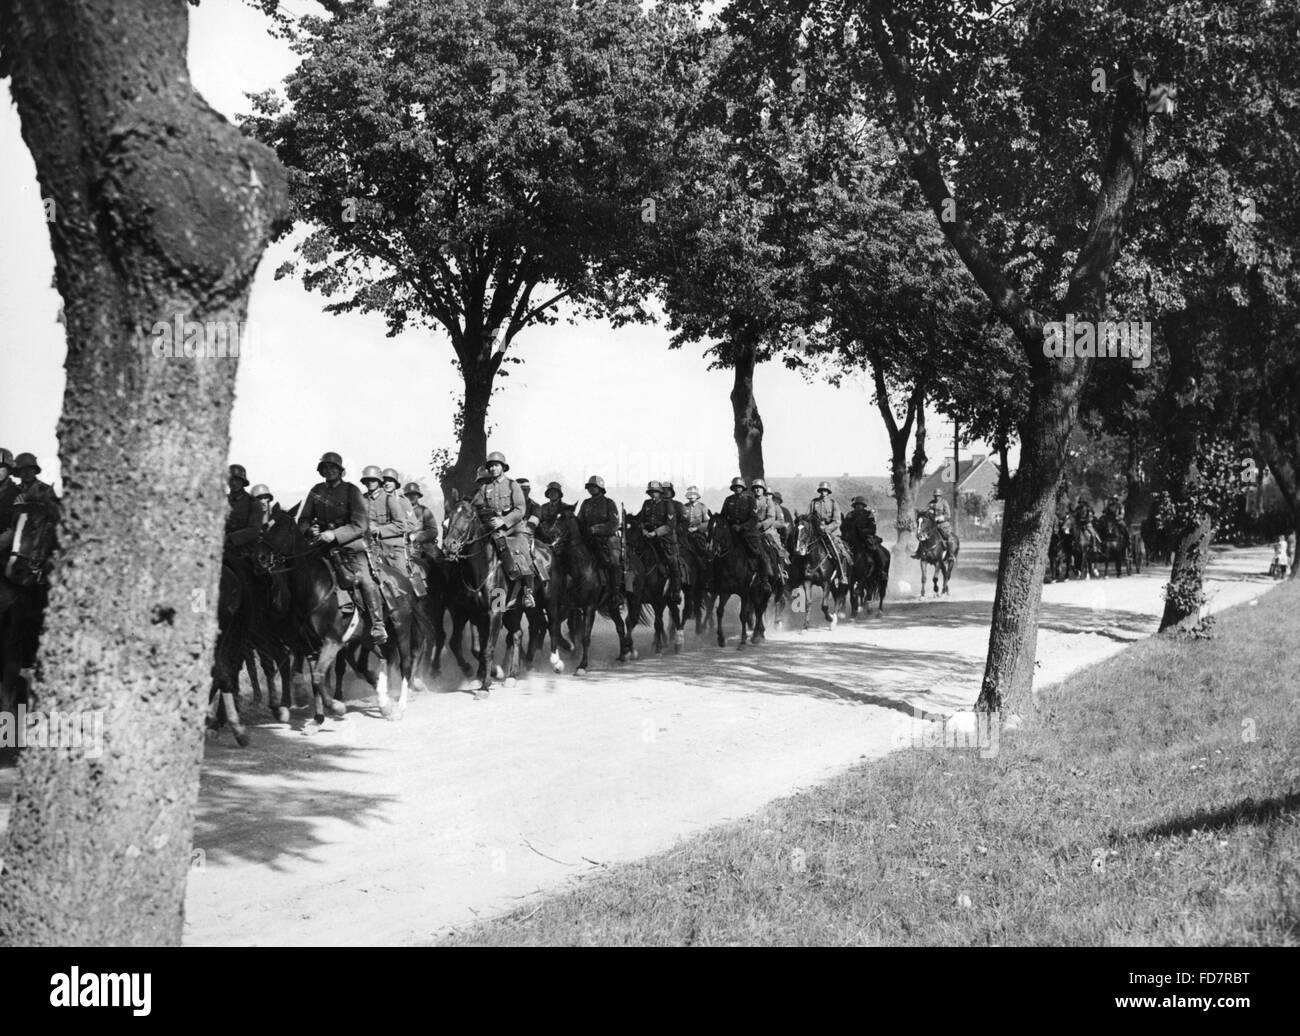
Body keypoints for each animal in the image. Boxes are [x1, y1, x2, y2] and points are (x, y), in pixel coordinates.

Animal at [439, 499, 561, 696]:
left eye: (469, 516)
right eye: (449, 517)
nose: (450, 544)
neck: (484, 565)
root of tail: (547, 550)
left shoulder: (494, 613)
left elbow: (488, 648)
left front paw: (485, 685)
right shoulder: (475, 614)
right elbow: (478, 648)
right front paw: (483, 676)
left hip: (550, 599)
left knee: (553, 624)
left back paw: (556, 662)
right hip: (522, 609)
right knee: (520, 633)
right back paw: (513, 675)